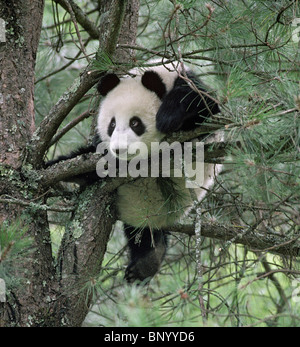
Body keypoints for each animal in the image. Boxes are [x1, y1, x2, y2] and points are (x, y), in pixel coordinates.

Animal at [47, 61, 220, 286]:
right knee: (142, 233)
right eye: (112, 124)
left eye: (135, 123)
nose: (119, 149)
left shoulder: (189, 85)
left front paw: (167, 117)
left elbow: (207, 107)